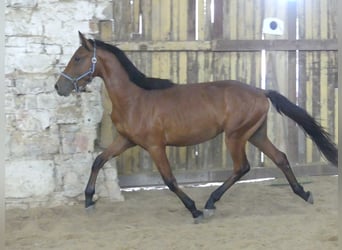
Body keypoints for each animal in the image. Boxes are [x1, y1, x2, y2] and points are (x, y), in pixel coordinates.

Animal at [54, 32, 338, 222]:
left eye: (78, 58)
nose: (60, 87)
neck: (135, 98)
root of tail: (261, 91)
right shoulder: (126, 140)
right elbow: (98, 160)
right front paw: (88, 199)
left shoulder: (155, 146)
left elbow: (169, 180)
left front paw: (194, 209)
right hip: (255, 134)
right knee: (280, 158)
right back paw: (303, 193)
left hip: (235, 136)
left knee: (242, 167)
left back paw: (211, 202)